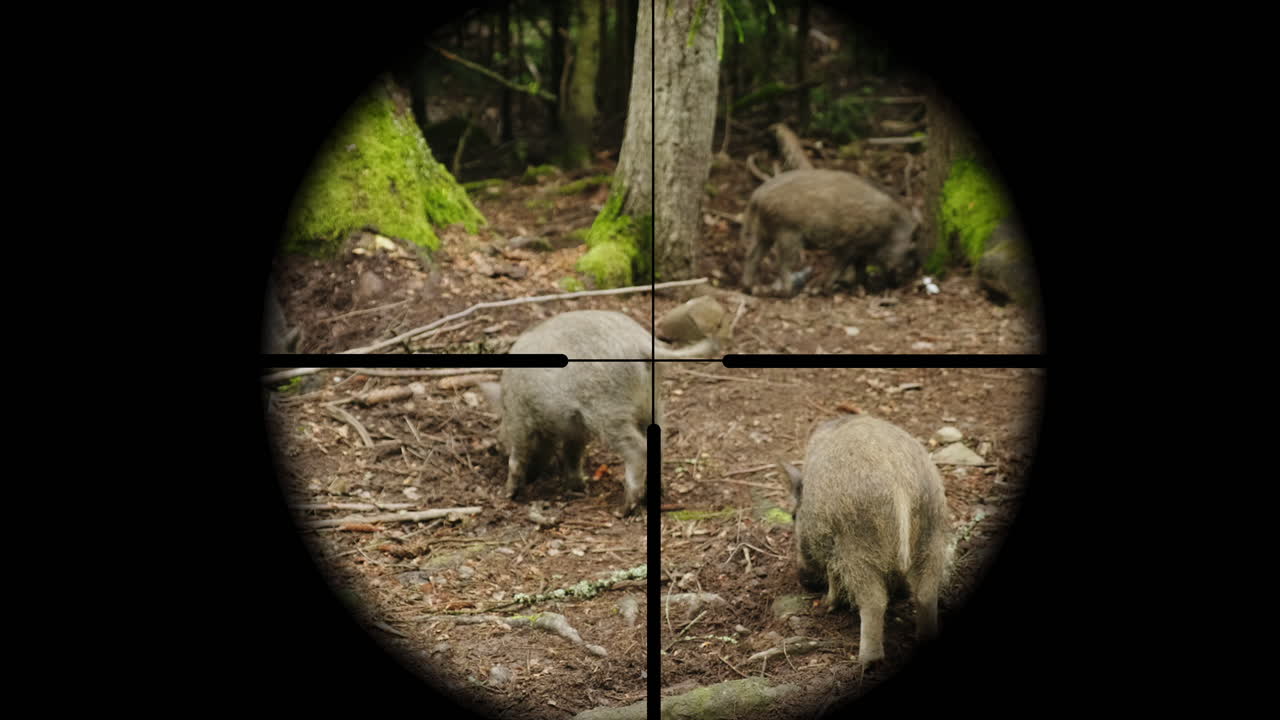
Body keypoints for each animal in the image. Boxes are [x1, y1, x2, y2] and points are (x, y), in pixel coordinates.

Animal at [484, 310, 717, 516]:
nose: (494, 448)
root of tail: (641, 342)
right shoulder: (575, 428)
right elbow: (572, 455)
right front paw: (578, 488)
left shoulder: (519, 418)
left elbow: (517, 458)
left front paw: (507, 494)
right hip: (653, 404)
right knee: (658, 443)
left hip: (608, 411)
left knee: (637, 449)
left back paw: (622, 510)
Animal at [741, 169, 920, 296]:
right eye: (911, 249)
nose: (899, 285)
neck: (891, 226)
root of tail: (757, 195)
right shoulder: (850, 245)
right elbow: (842, 265)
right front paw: (826, 288)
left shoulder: (861, 248)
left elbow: (859, 267)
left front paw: (861, 288)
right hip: (788, 233)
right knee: (782, 263)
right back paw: (789, 292)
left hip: (764, 232)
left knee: (752, 256)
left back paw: (749, 288)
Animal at [781, 414, 950, 664]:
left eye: (793, 516)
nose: (804, 581)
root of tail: (901, 486)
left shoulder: (831, 544)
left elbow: (833, 575)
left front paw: (827, 605)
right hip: (932, 535)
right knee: (926, 593)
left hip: (859, 547)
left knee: (874, 603)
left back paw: (868, 662)